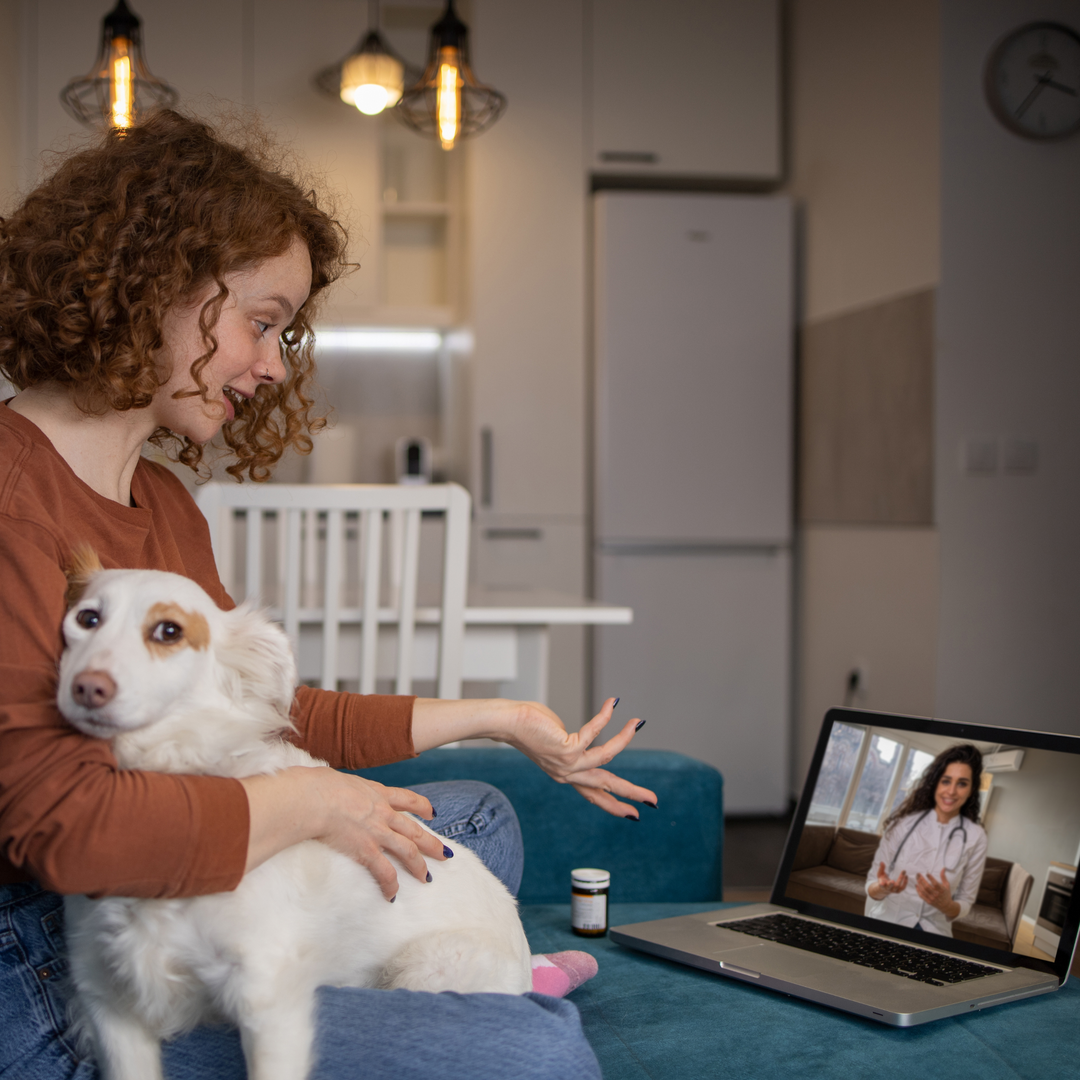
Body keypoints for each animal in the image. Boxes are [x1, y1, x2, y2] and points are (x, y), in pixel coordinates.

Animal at [58, 557, 531, 1080]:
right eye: (86, 619)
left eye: (169, 631)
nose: (88, 687)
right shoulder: (107, 1001)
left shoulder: (269, 1000)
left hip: (428, 969)